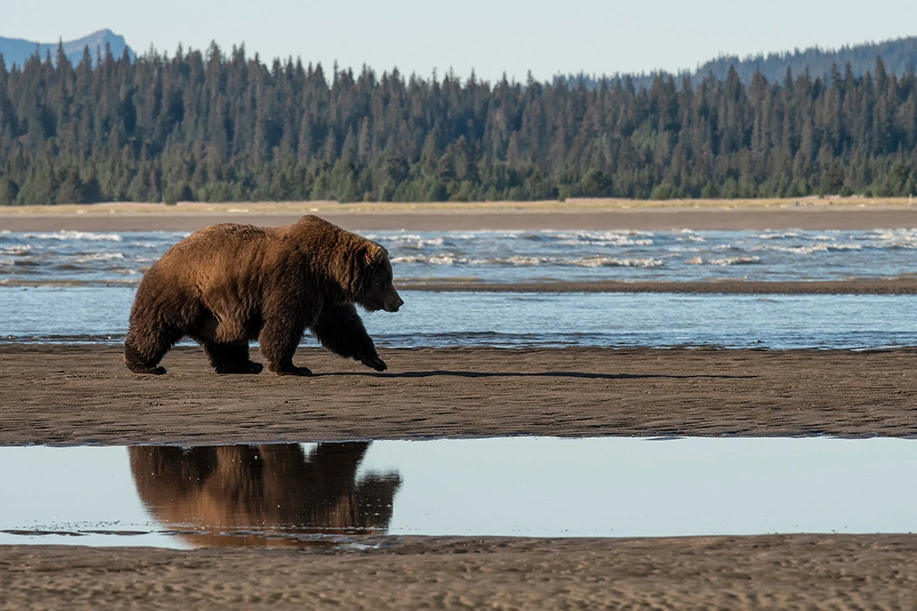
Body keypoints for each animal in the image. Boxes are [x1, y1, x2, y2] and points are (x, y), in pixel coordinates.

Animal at [124, 215, 400, 378]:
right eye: (387, 278)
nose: (399, 301)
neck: (329, 272)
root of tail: (159, 260)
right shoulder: (295, 280)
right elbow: (284, 323)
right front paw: (292, 367)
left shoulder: (327, 299)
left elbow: (343, 328)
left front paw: (376, 359)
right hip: (183, 293)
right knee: (155, 328)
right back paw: (145, 364)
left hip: (216, 311)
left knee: (225, 340)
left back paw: (244, 365)